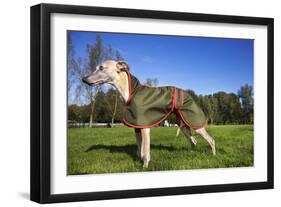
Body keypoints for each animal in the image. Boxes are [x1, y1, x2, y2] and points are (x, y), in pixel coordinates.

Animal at [82, 59, 215, 167]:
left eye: (101, 68)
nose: (83, 79)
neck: (131, 91)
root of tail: (189, 95)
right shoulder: (137, 128)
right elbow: (139, 151)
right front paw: (138, 161)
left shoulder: (145, 128)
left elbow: (145, 152)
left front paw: (145, 166)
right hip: (183, 125)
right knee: (194, 141)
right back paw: (192, 152)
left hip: (195, 122)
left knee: (211, 140)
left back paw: (213, 156)